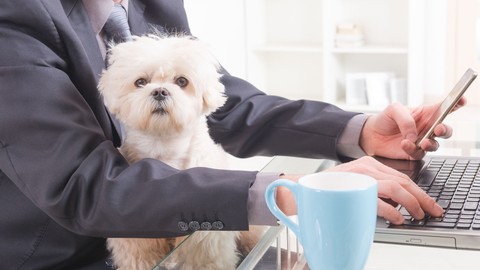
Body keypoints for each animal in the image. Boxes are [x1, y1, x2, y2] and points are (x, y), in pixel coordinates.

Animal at [99, 35, 260, 270]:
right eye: (141, 82)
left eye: (182, 81)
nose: (159, 91)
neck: (164, 148)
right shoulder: (134, 237)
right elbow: (141, 255)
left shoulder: (205, 240)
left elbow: (205, 259)